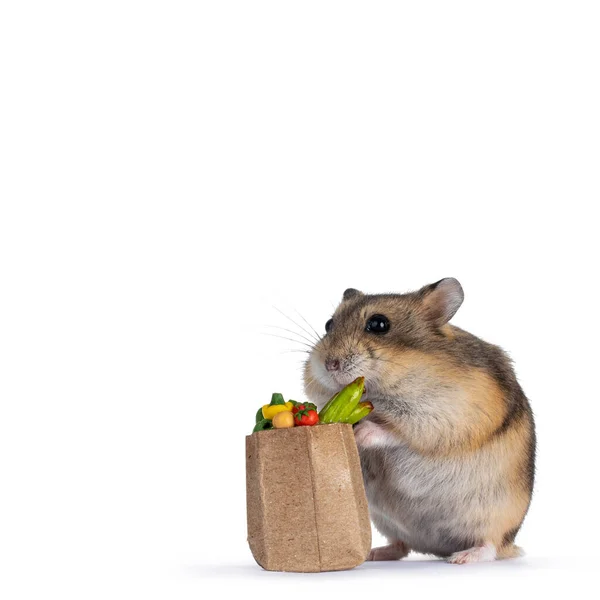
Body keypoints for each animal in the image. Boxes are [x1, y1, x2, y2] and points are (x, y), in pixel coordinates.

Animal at [304, 278, 536, 564]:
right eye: (328, 325)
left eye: (378, 324)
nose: (330, 364)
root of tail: (438, 547)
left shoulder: (443, 417)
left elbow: (397, 431)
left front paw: (362, 433)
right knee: (401, 546)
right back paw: (373, 554)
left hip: (494, 517)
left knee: (490, 545)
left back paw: (461, 558)